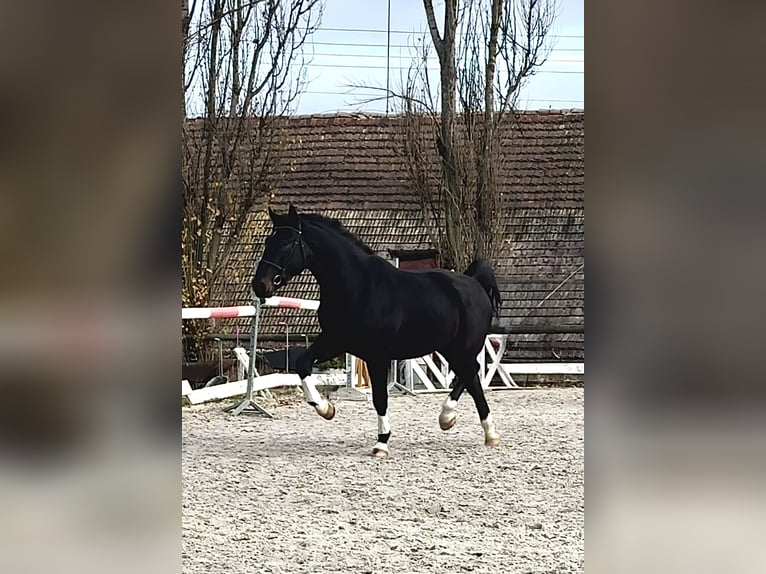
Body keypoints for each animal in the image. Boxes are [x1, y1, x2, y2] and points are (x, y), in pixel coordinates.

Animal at [252, 205, 503, 457]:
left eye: (287, 241)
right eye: (268, 241)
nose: (260, 285)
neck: (358, 286)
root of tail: (474, 283)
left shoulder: (377, 355)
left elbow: (380, 397)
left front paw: (381, 443)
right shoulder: (334, 342)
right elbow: (302, 363)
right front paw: (326, 408)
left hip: (463, 348)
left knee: (471, 374)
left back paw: (470, 425)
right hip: (449, 348)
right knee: (471, 376)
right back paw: (466, 425)